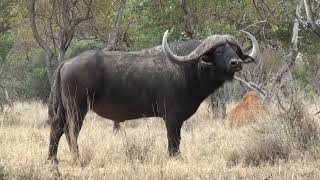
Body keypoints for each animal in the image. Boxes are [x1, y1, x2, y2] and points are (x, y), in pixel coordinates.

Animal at [49, 29, 260, 163]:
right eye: (219, 49)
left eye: (235, 49)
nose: (236, 63)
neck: (188, 69)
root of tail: (66, 63)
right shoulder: (173, 118)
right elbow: (173, 140)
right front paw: (175, 158)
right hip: (77, 108)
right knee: (71, 131)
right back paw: (76, 157)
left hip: (64, 110)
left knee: (57, 129)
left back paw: (53, 159)